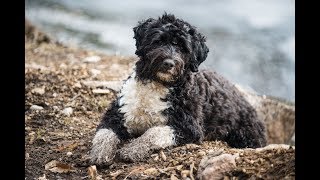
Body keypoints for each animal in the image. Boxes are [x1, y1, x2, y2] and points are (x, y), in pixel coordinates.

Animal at [90, 12, 268, 165]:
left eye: (183, 48)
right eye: (158, 41)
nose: (169, 63)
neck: (158, 84)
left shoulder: (189, 128)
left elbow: (154, 132)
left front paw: (134, 148)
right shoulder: (118, 112)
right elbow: (104, 133)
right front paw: (100, 152)